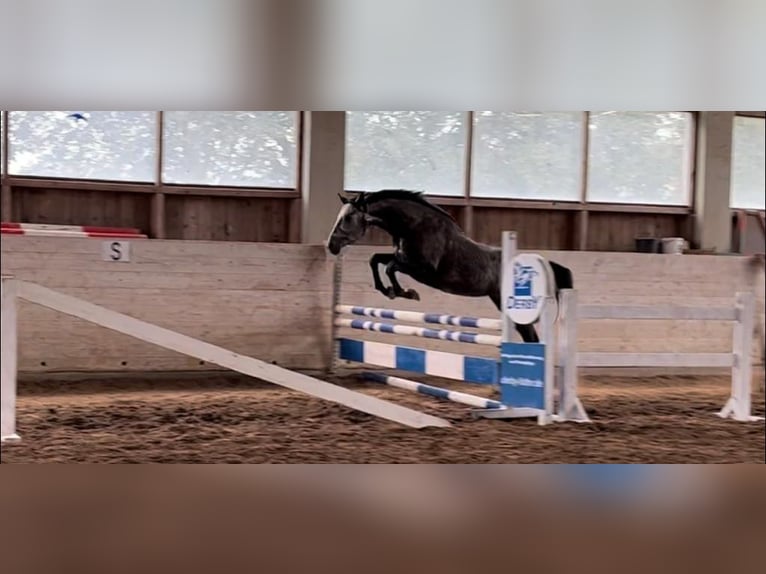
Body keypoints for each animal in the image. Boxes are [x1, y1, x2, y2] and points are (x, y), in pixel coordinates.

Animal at [326, 189, 576, 344]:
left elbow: (390, 267)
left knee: (530, 335)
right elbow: (376, 259)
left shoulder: (423, 269)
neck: (414, 226)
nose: (331, 246)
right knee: (528, 334)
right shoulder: (404, 258)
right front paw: (388, 290)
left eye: (348, 218)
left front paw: (404, 292)